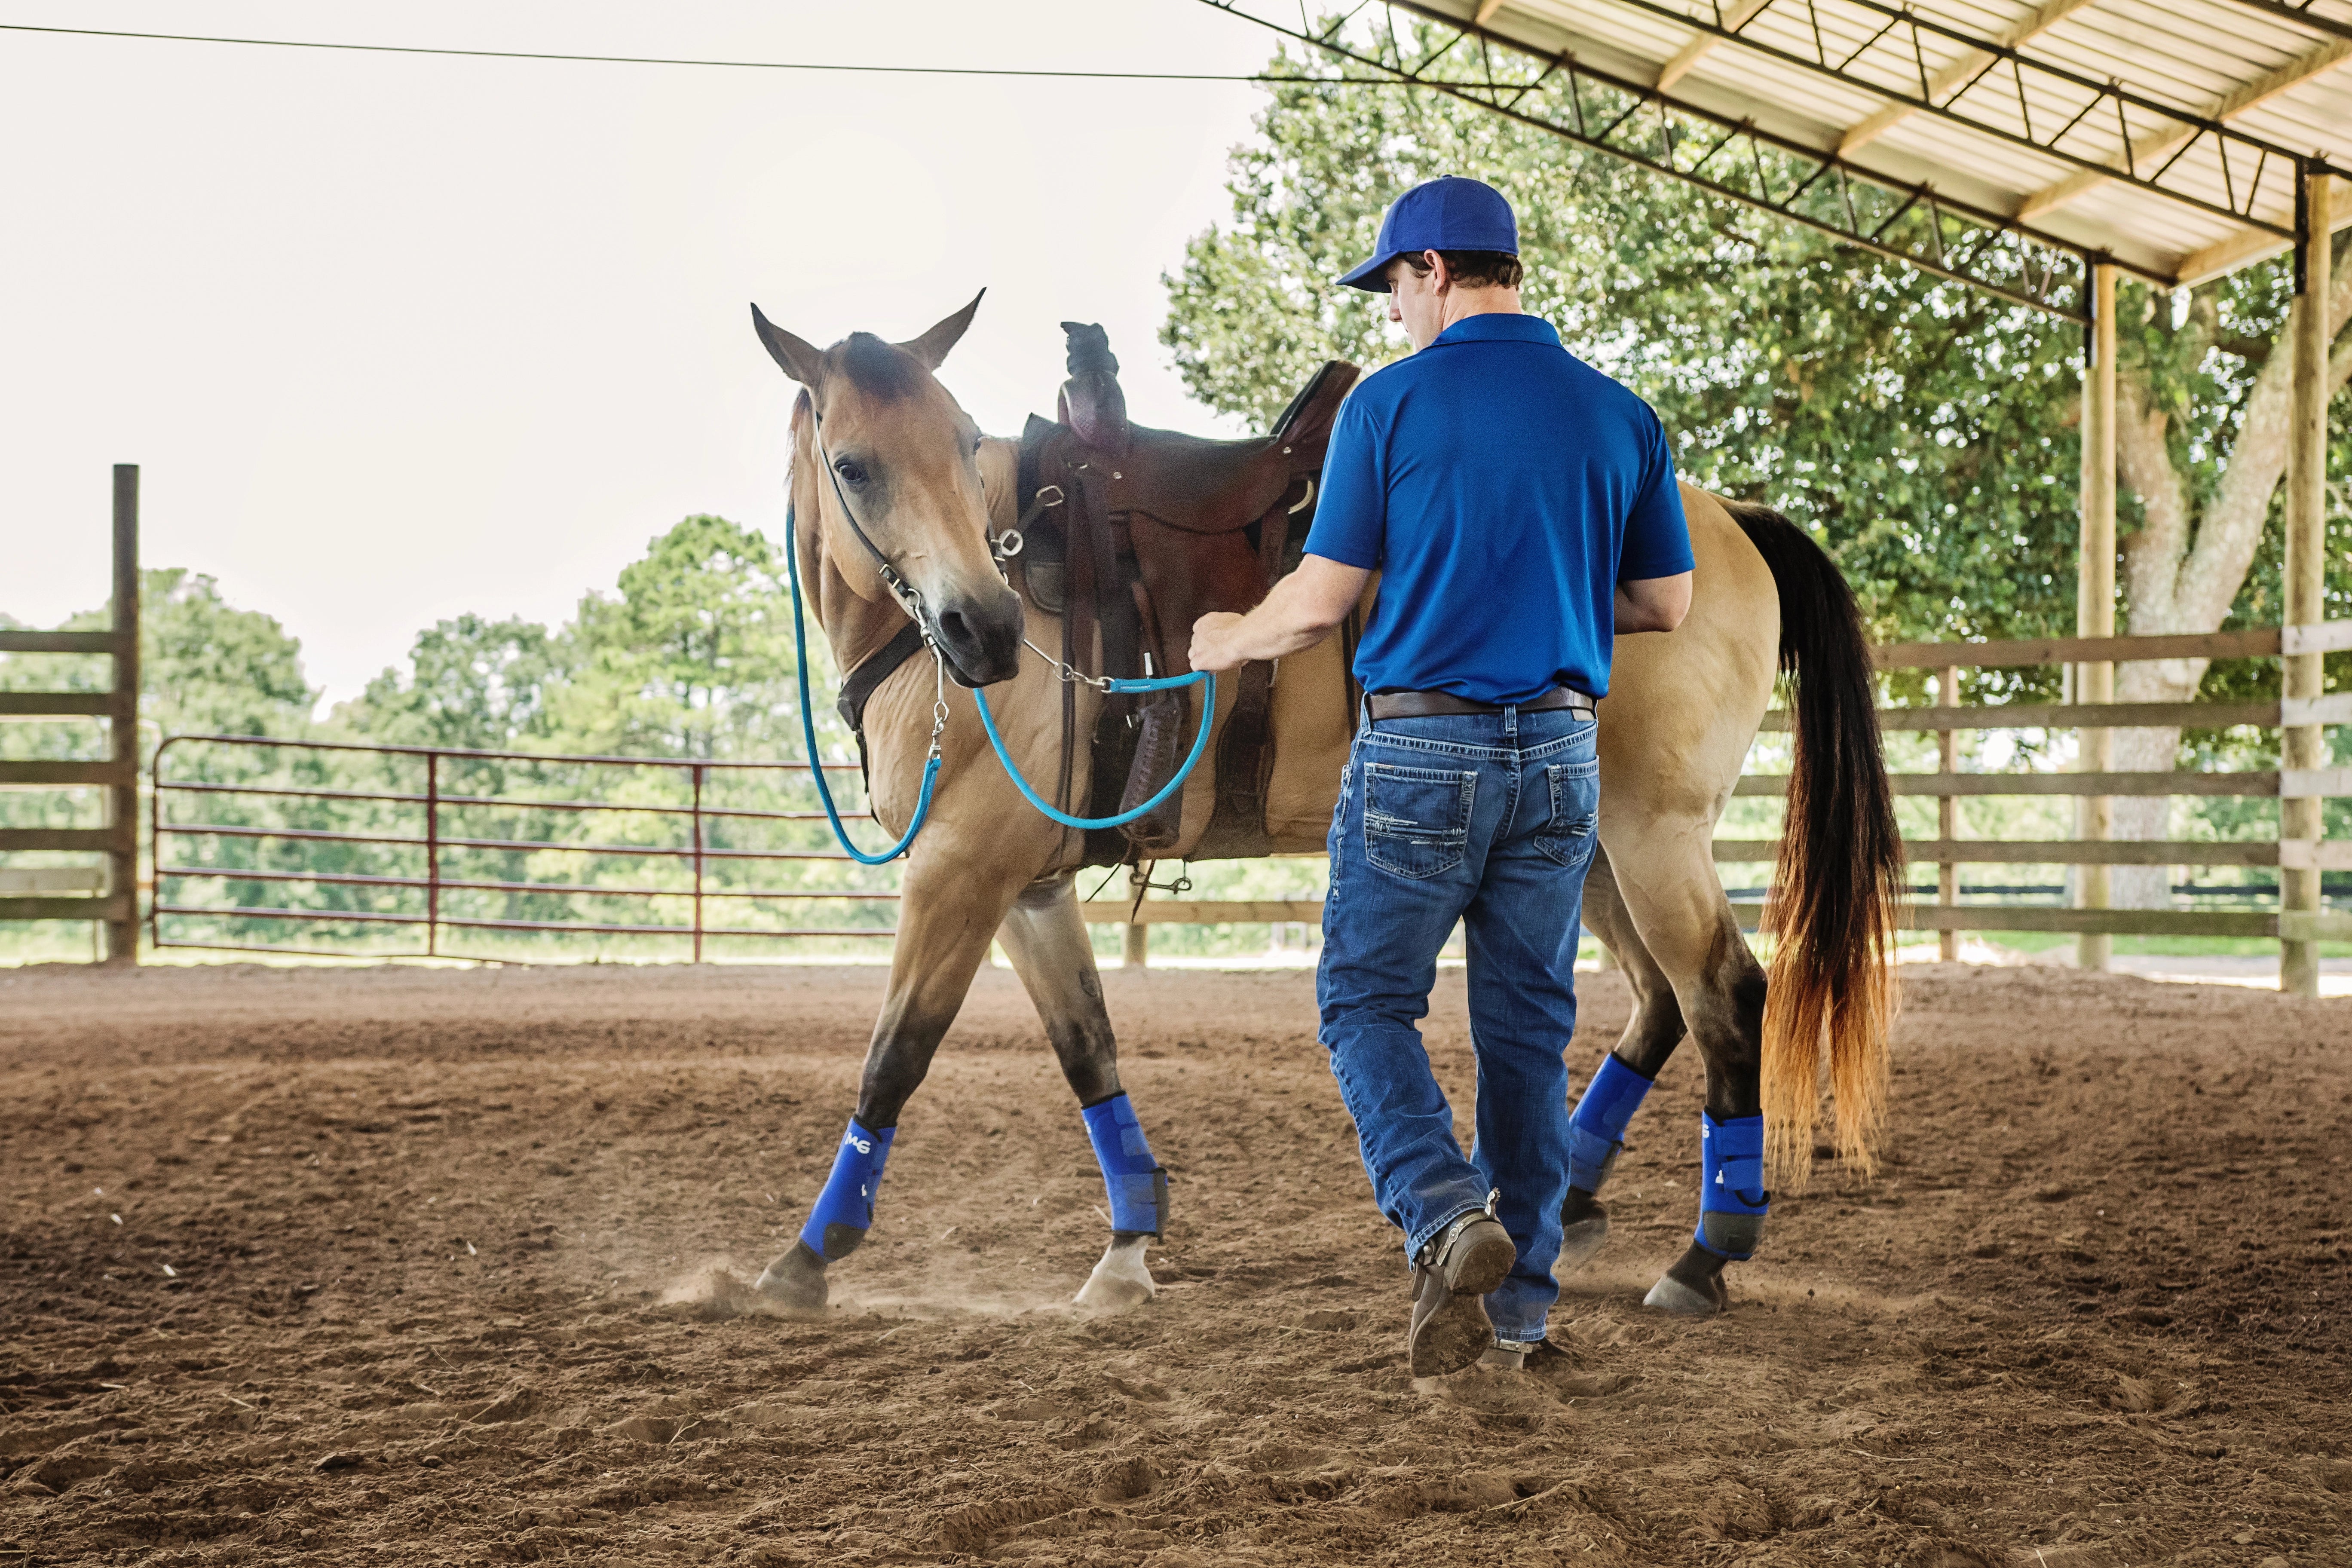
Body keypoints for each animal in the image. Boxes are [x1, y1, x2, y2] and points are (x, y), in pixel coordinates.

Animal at [745, 293, 1901, 1320]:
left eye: (960, 442)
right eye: (856, 466)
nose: (982, 631)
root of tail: (1727, 520)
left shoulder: (958, 871)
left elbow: (894, 1057)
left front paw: (806, 1257)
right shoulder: (1024, 888)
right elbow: (1088, 1051)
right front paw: (1128, 1249)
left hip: (1653, 835)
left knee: (1723, 997)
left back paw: (1703, 1258)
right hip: (1591, 846)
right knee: (1660, 1005)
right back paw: (1558, 1202)